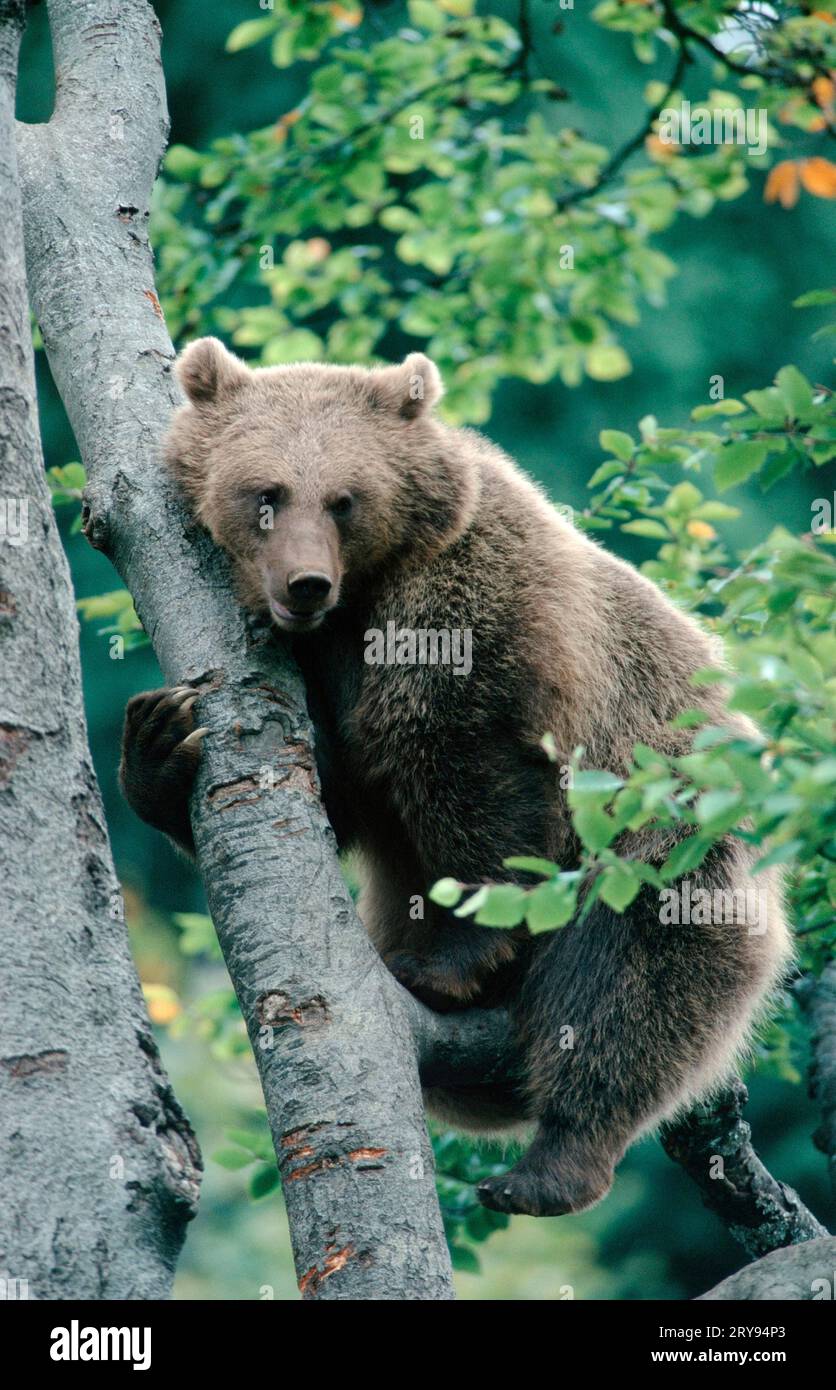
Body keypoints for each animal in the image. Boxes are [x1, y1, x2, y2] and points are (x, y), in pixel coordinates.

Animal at [120, 337, 791, 1217]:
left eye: (344, 499)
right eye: (265, 494)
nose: (305, 583)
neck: (361, 602)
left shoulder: (476, 620)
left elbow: (474, 788)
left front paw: (446, 963)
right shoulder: (321, 672)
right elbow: (333, 793)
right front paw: (159, 743)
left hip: (671, 829)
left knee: (636, 976)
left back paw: (549, 1168)